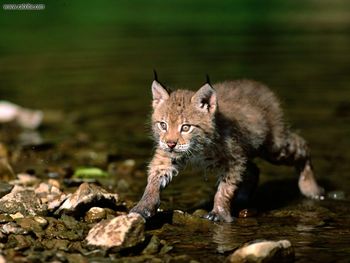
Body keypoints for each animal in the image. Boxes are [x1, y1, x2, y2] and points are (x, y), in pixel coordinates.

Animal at [131, 78, 322, 223]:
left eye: (185, 127)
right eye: (163, 125)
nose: (170, 143)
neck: (197, 149)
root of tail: (258, 85)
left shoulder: (233, 159)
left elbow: (224, 189)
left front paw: (219, 213)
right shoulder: (166, 157)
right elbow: (153, 181)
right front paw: (143, 207)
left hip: (274, 147)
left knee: (302, 145)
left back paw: (312, 189)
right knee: (253, 169)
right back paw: (243, 199)